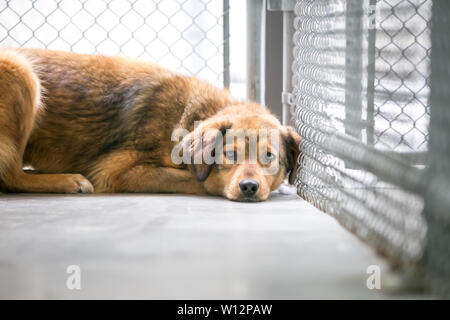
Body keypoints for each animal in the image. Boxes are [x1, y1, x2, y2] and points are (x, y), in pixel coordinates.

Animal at [0, 48, 302, 201]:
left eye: (269, 157)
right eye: (229, 154)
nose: (249, 187)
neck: (188, 117)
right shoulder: (114, 172)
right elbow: (194, 179)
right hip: (21, 72)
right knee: (10, 177)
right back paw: (66, 180)